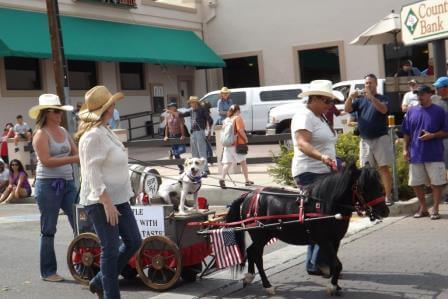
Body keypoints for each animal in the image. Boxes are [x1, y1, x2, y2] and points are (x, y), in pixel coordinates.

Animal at [228, 164, 388, 298]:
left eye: (379, 183)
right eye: (363, 187)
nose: (384, 210)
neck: (325, 206)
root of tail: (248, 195)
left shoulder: (335, 240)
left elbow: (334, 264)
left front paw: (335, 285)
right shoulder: (324, 241)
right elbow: (337, 265)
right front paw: (332, 287)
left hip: (264, 236)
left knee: (251, 252)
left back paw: (249, 277)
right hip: (260, 235)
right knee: (256, 255)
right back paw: (267, 286)